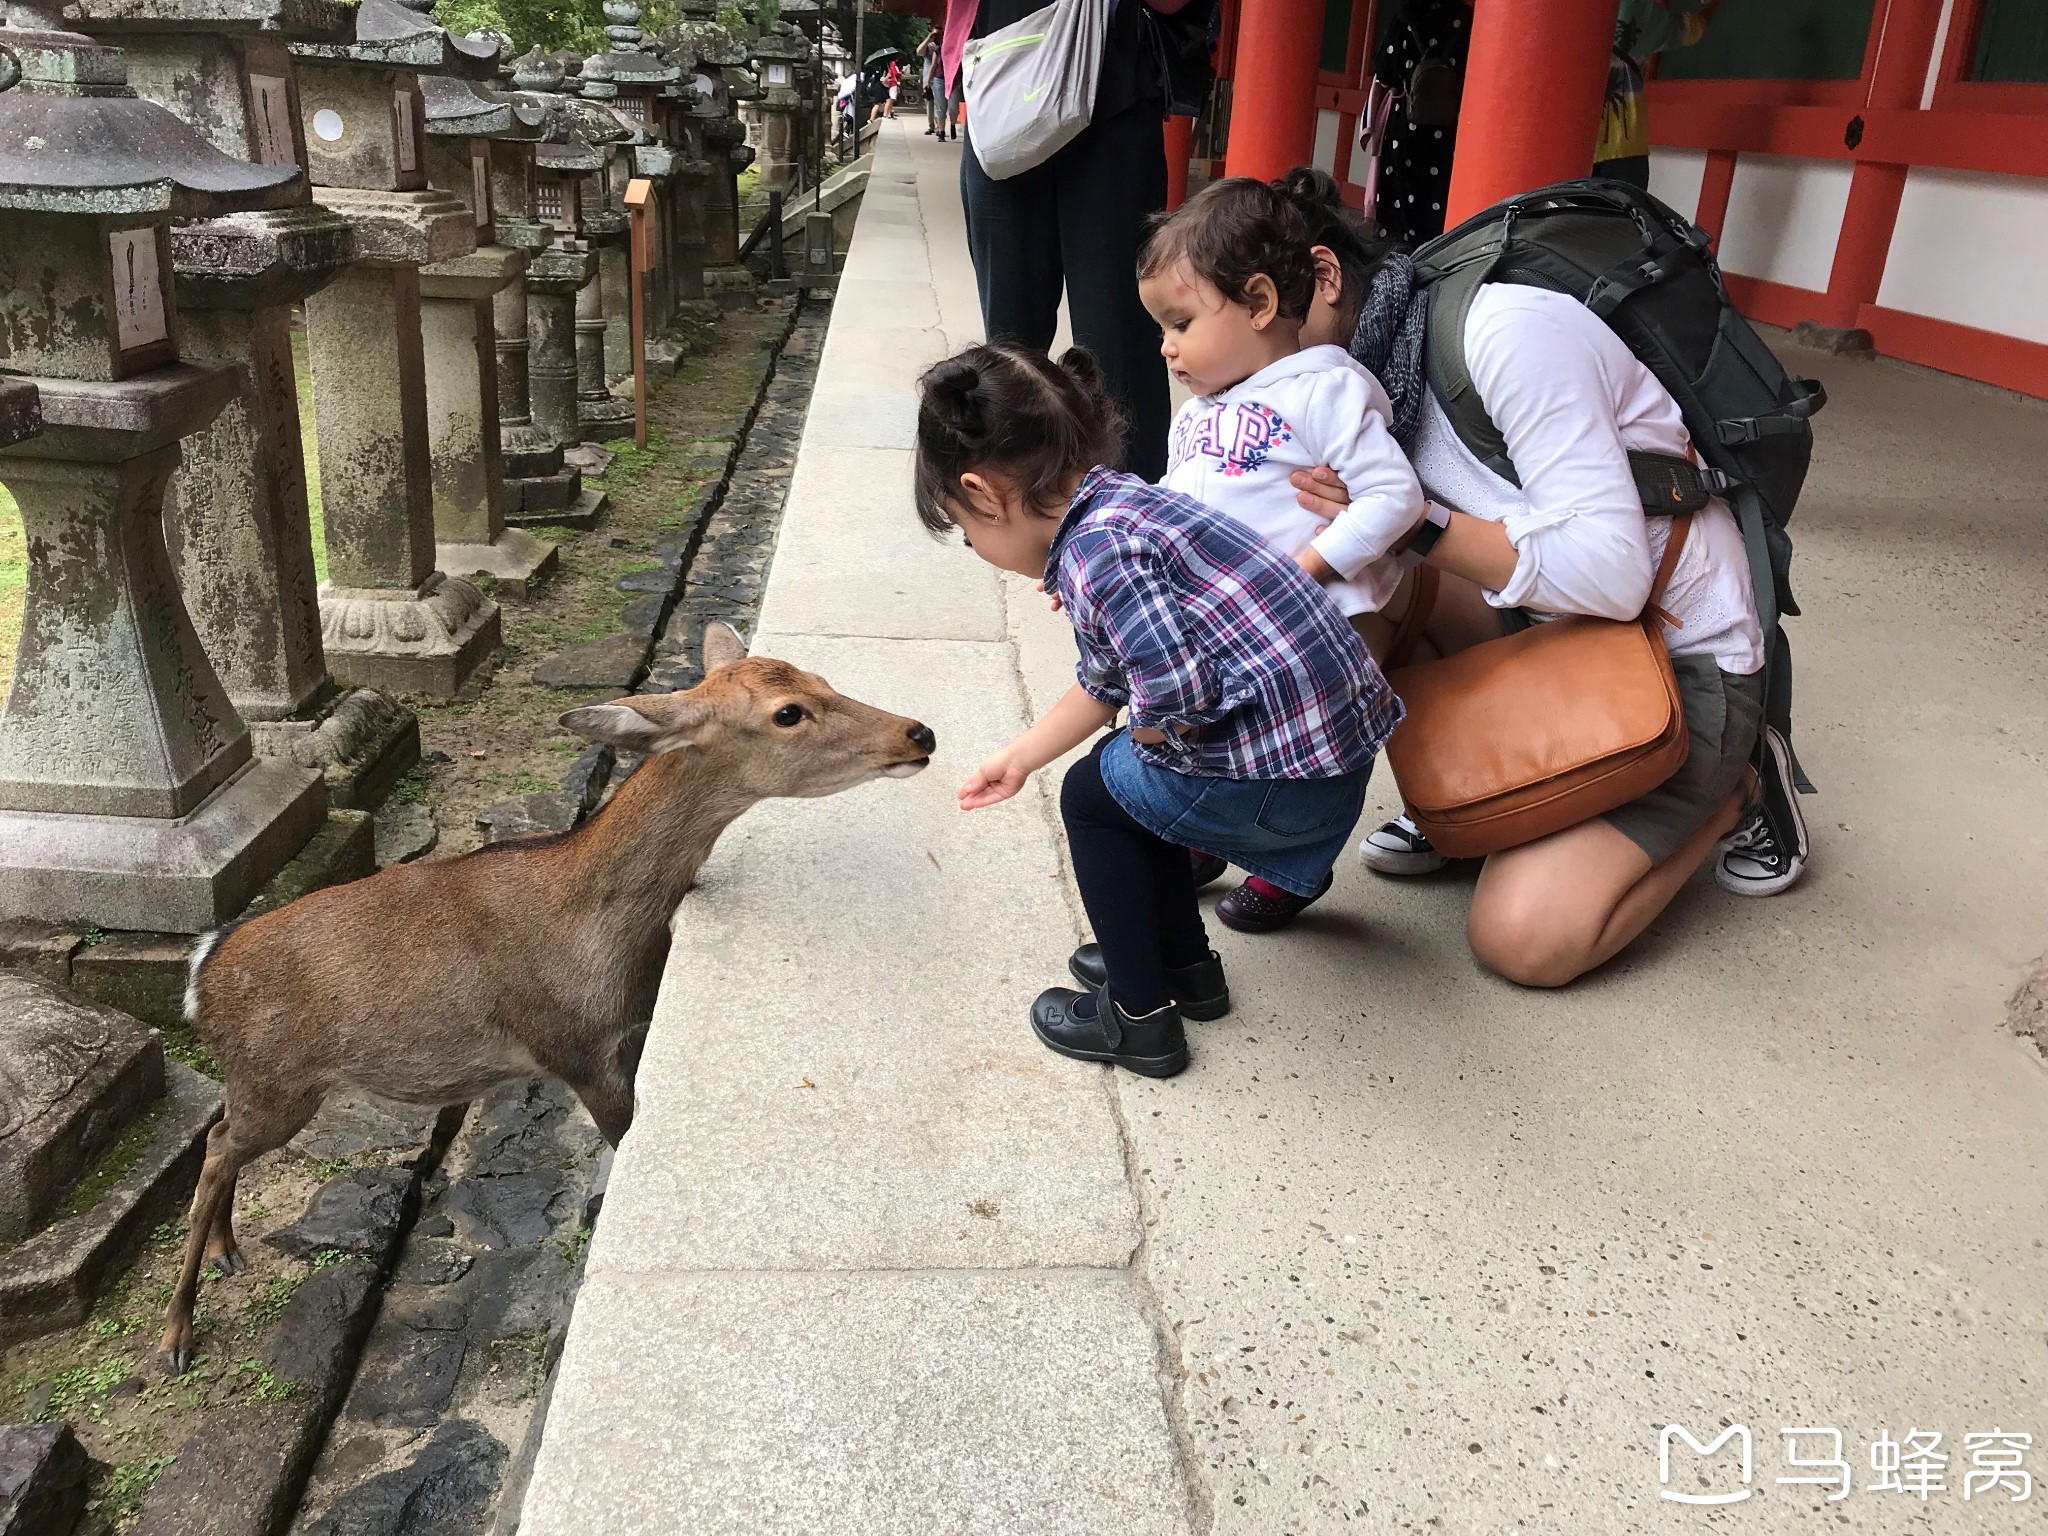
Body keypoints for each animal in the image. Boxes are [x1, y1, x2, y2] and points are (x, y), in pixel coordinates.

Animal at [159, 626, 929, 1368]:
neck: (606, 934)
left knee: (221, 1139)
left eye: (820, 677)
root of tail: (202, 970)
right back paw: (176, 1335)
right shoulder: (577, 1049)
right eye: (787, 713)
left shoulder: (630, 1031)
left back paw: (227, 1251)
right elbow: (620, 1139)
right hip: (277, 1081)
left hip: (261, 1083)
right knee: (217, 1148)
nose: (919, 733)